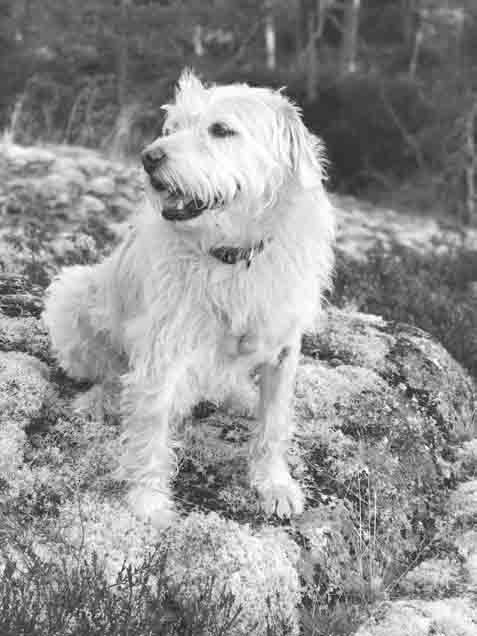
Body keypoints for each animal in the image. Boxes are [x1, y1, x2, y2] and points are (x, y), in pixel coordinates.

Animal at [43, 71, 334, 528]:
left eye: (222, 130)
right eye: (174, 127)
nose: (148, 157)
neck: (233, 256)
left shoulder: (284, 348)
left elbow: (273, 423)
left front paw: (273, 484)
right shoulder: (163, 350)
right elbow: (151, 426)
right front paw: (148, 501)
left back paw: (239, 396)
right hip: (72, 295)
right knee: (108, 372)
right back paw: (101, 398)